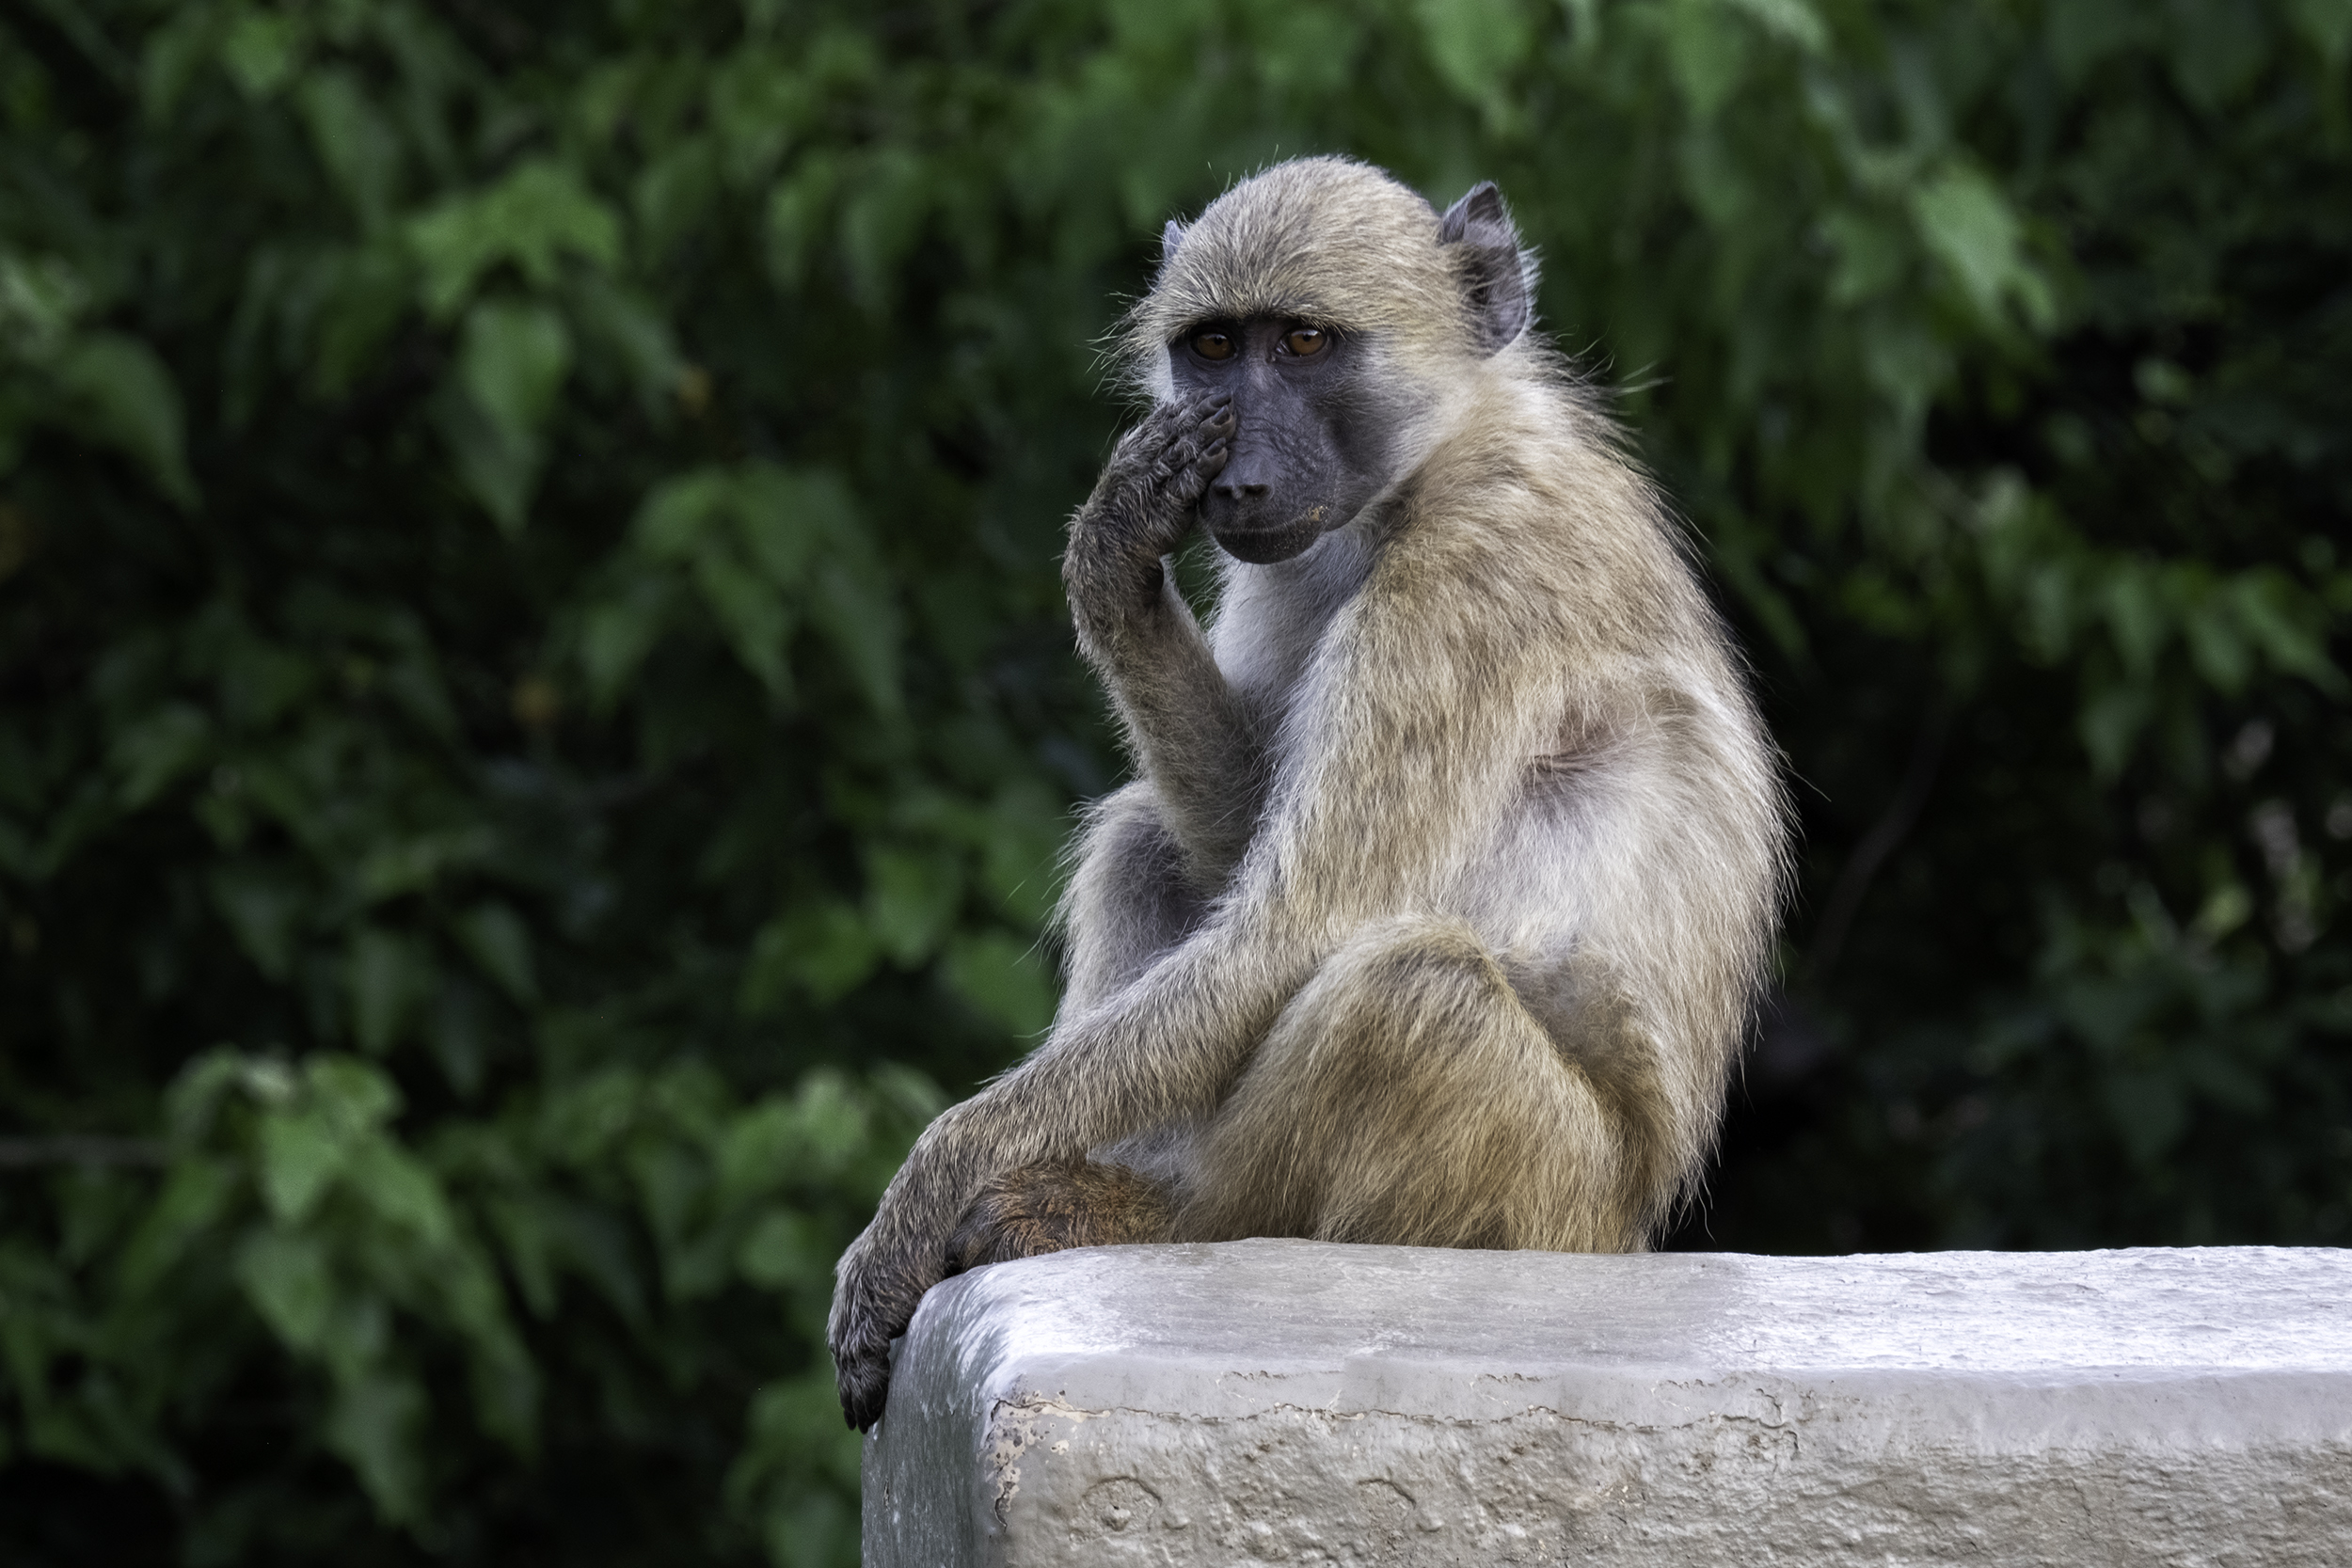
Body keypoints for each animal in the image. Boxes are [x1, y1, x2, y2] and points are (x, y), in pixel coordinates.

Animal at [828, 159, 1778, 1438]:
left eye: (1307, 340)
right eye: (1214, 347)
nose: (1238, 479)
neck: (1434, 460)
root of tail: (1628, 1231)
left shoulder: (1469, 588)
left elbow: (1295, 927)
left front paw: (916, 1202)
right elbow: (1236, 857)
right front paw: (1114, 562)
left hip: (1549, 1196)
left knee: (1408, 986)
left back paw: (1153, 1213)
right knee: (1147, 838)